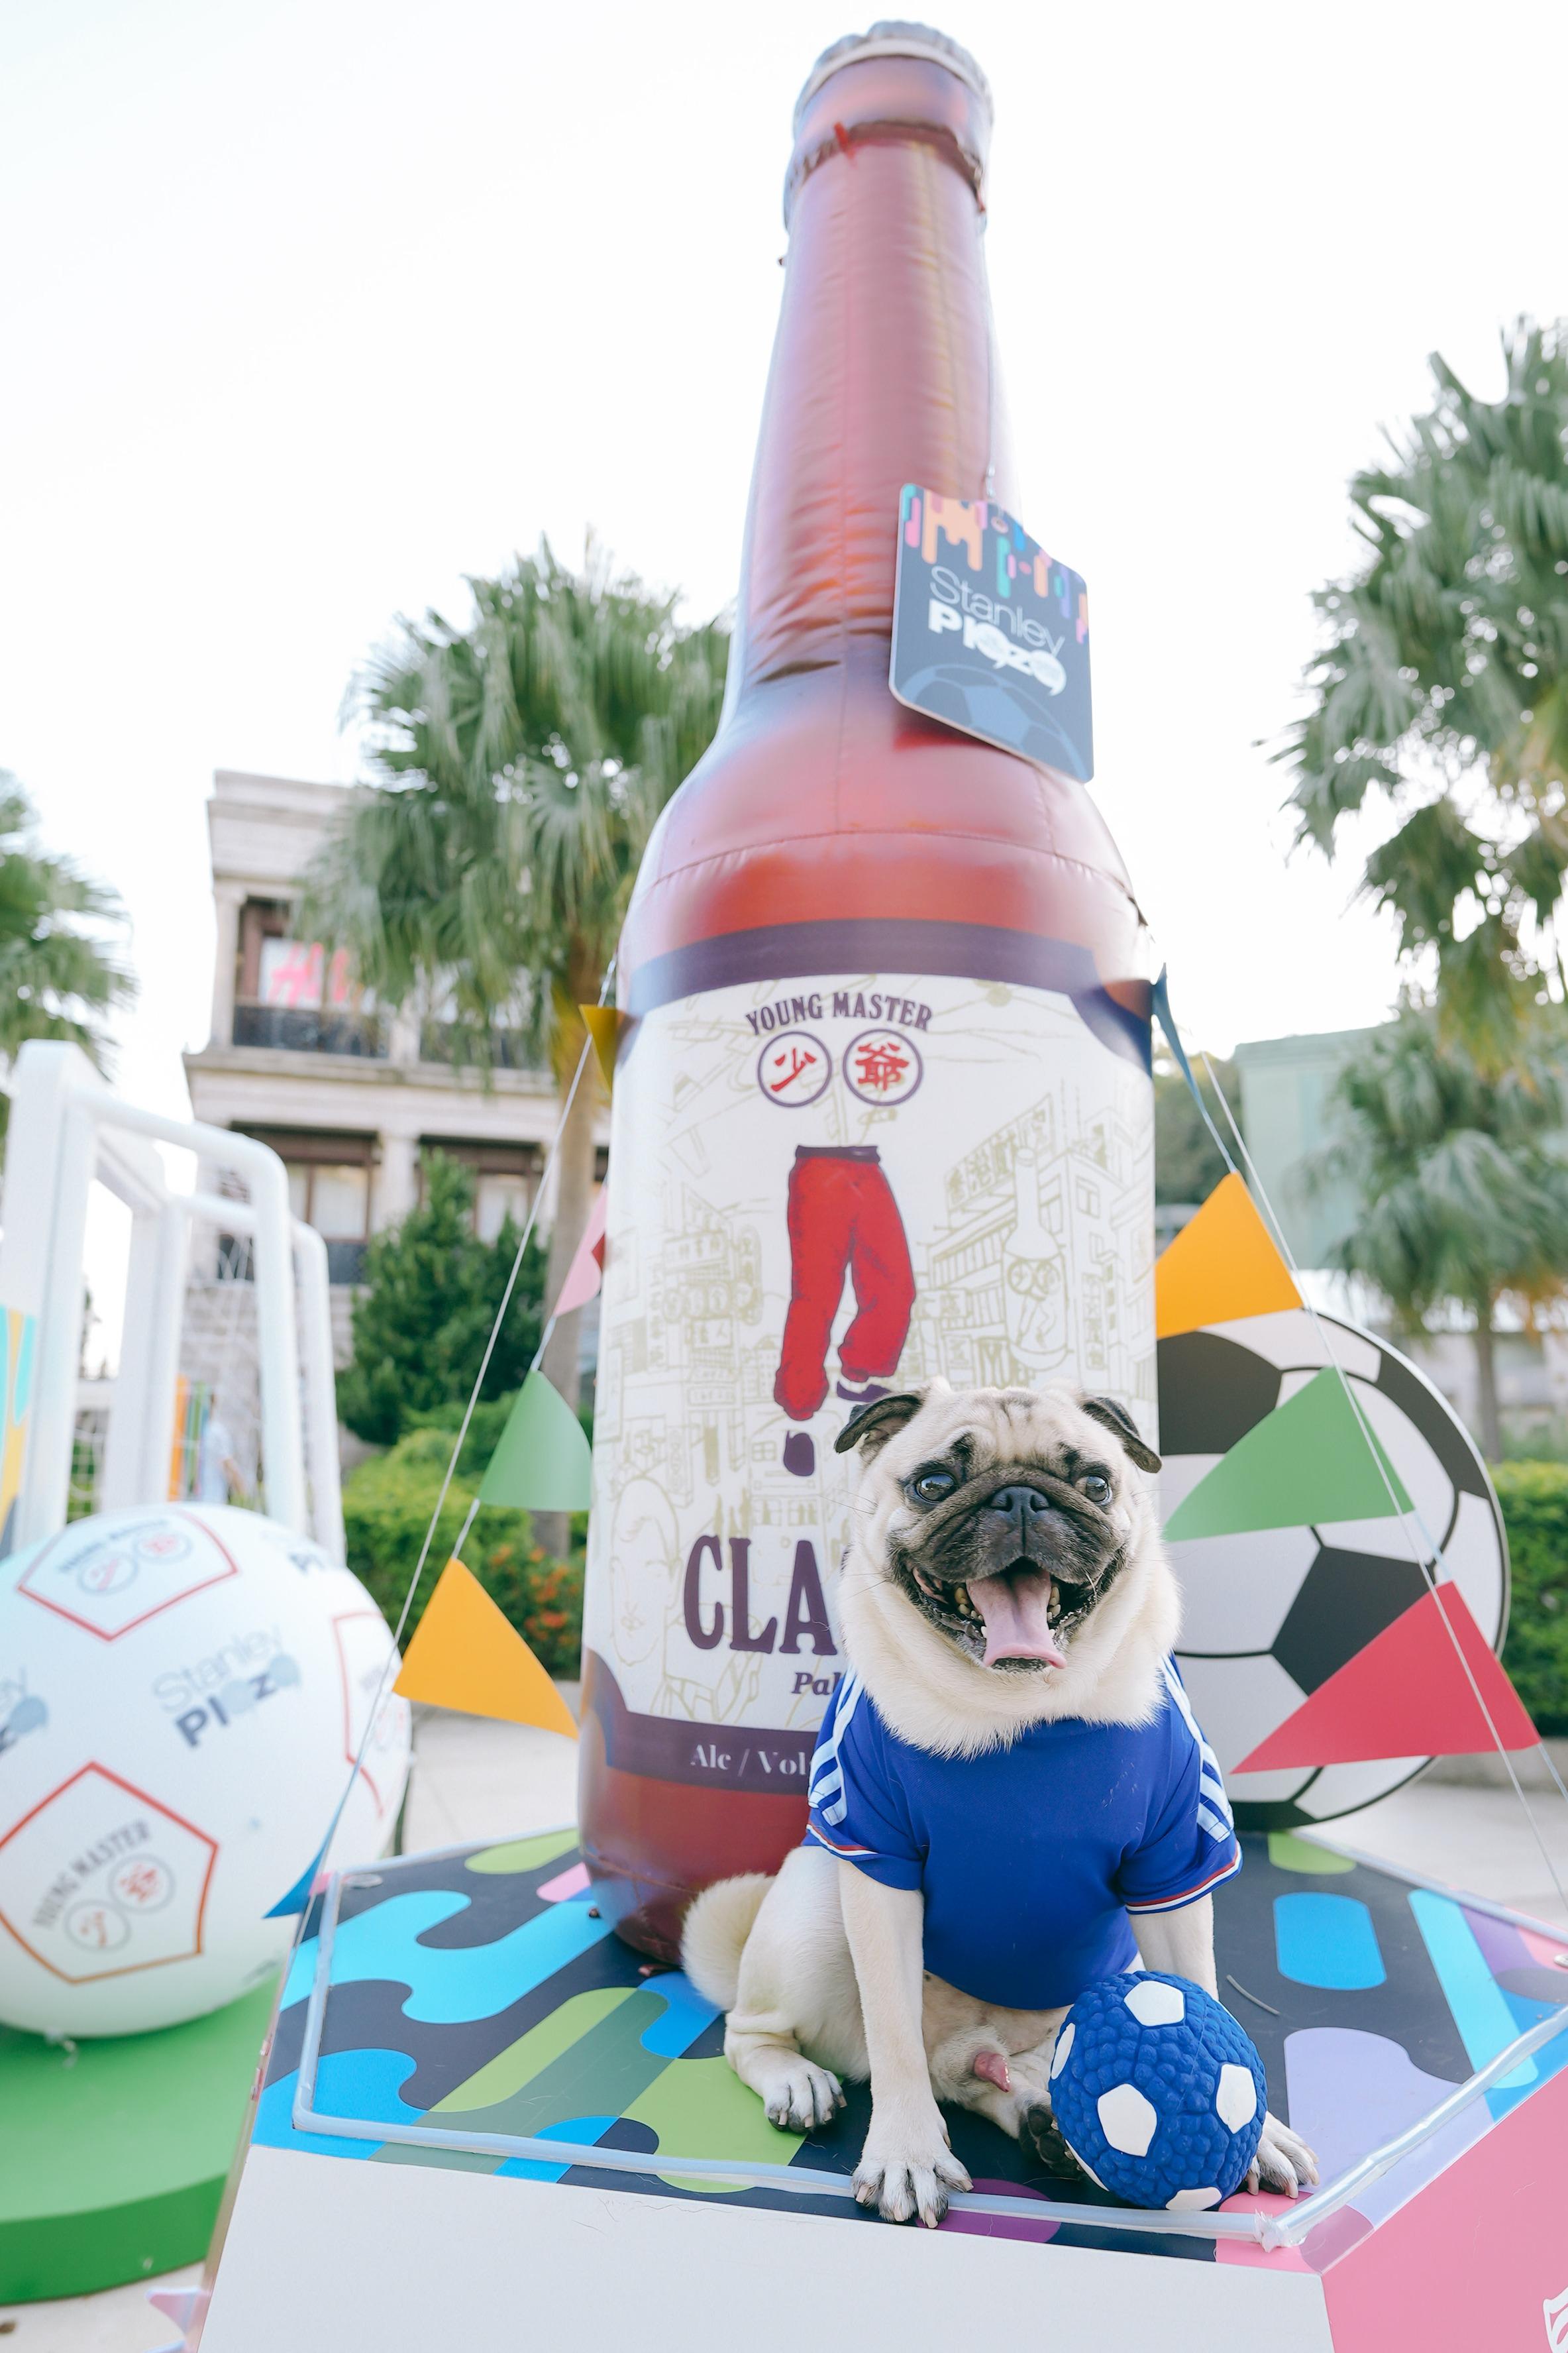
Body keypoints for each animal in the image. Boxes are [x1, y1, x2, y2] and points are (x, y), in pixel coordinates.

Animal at [682, 1379, 1318, 2226]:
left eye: (1095, 1483)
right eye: (932, 1483)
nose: (1020, 1497)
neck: (1020, 1710)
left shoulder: (1176, 1869)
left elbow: (1203, 1996)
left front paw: (1257, 2130)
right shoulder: (875, 1863)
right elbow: (892, 2034)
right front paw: (908, 2151)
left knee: (990, 2075)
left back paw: (1051, 2125)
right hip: (815, 1916)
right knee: (758, 2034)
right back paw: (800, 2079)